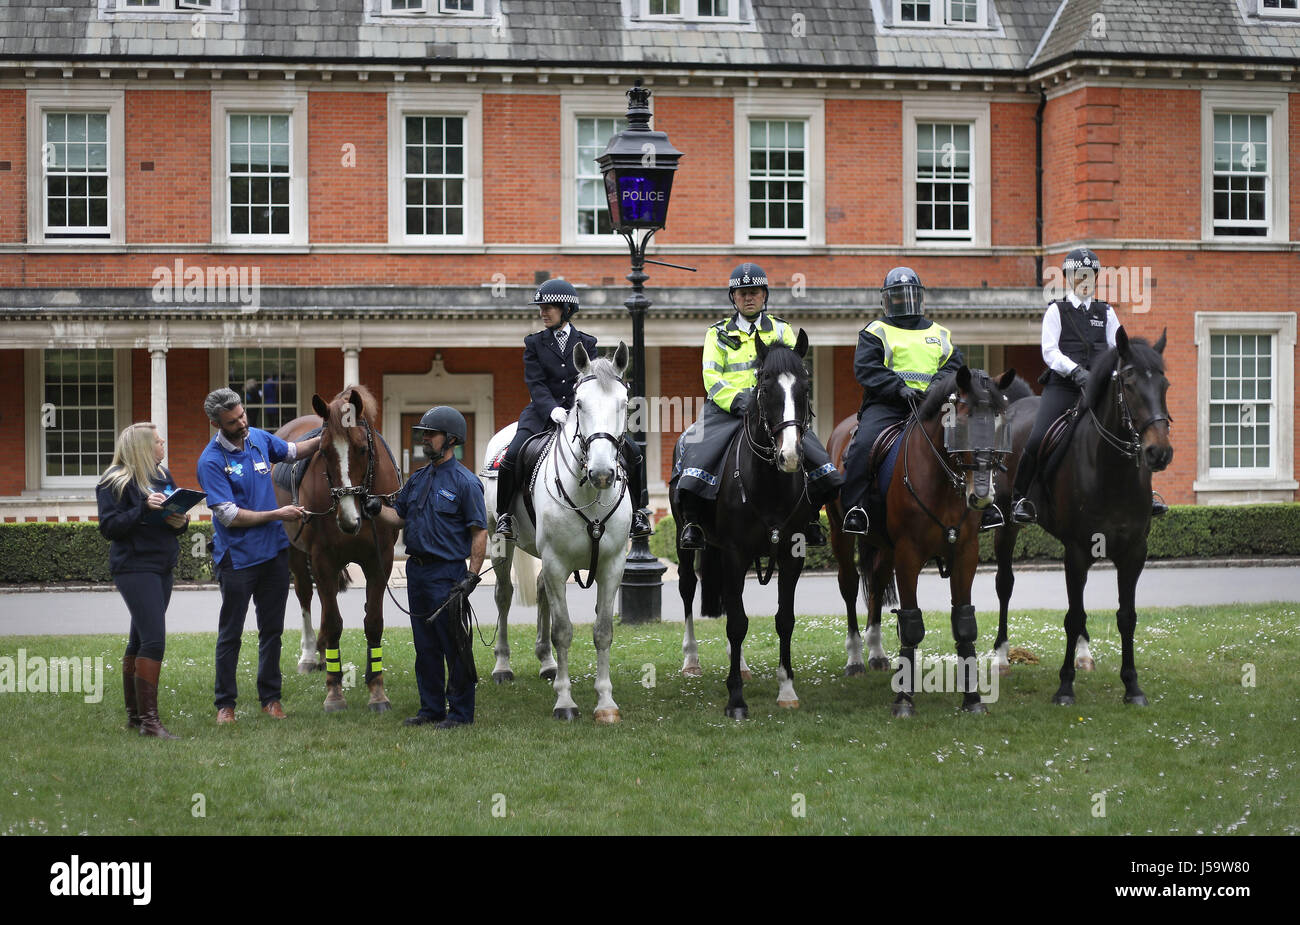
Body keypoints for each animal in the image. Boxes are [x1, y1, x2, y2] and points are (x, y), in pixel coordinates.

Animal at [271, 381, 397, 717]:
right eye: (324, 451)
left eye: (362, 448)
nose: (348, 517)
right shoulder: (323, 559)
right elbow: (333, 621)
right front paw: (334, 691)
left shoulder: (380, 560)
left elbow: (373, 621)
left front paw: (376, 690)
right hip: (296, 552)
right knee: (305, 595)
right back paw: (309, 654)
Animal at [483, 342, 634, 727]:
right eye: (579, 403)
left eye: (624, 403)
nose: (601, 472)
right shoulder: (555, 561)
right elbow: (563, 631)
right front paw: (565, 702)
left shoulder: (612, 565)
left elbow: (603, 631)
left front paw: (605, 702)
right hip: (500, 542)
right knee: (503, 596)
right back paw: (503, 666)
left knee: (541, 594)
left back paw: (547, 663)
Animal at [676, 328, 816, 717]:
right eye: (764, 386)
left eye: (805, 386)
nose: (790, 455)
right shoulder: (735, 552)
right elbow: (737, 624)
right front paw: (735, 699)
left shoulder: (792, 555)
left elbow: (785, 619)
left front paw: (787, 690)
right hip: (685, 543)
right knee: (688, 589)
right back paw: (691, 660)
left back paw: (739, 664)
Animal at [987, 324, 1175, 701]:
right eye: (1129, 383)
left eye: (1164, 384)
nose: (1158, 452)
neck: (1111, 469)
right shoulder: (1075, 550)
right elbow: (1072, 616)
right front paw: (1064, 687)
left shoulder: (1133, 552)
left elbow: (1126, 615)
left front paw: (1132, 686)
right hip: (1007, 527)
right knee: (1005, 584)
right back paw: (1001, 656)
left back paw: (1085, 654)